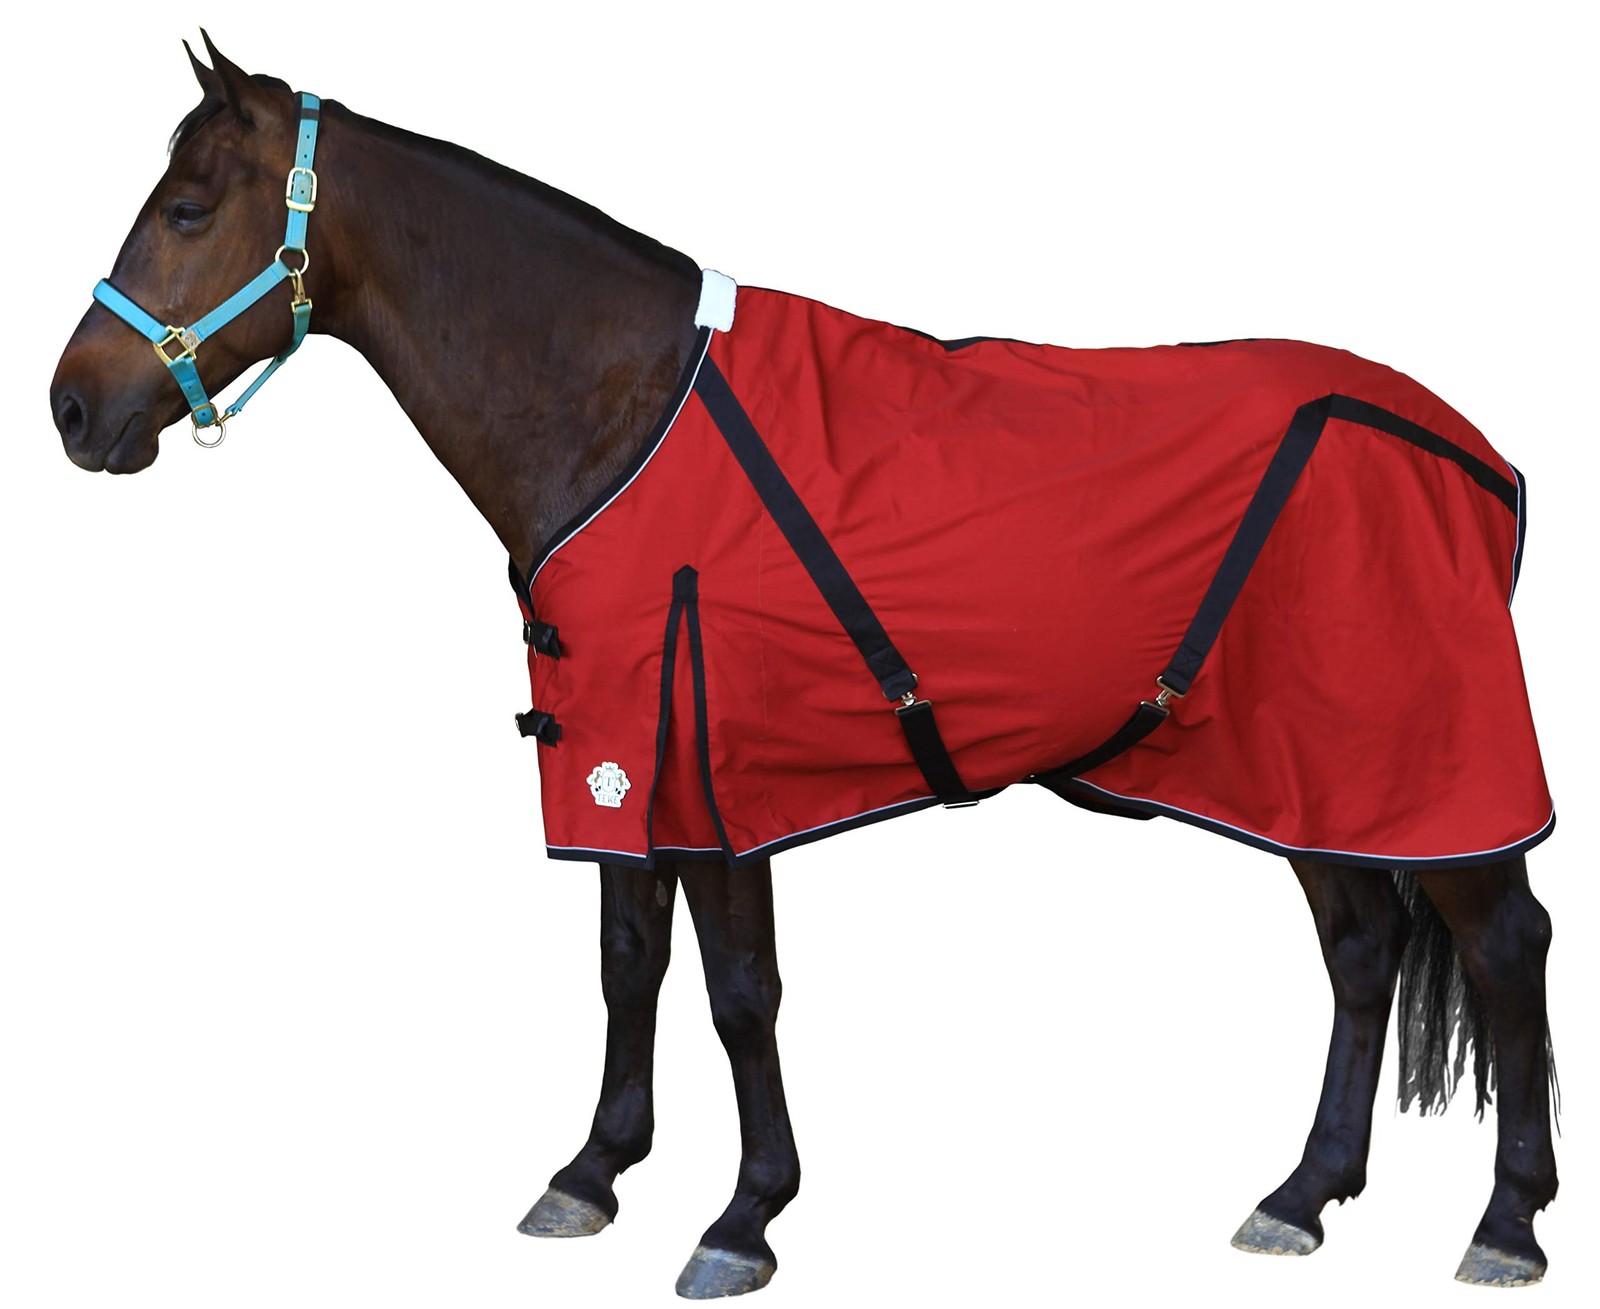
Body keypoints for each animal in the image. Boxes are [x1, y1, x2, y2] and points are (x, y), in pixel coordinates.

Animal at [48, 34, 1559, 1299]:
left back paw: (1506, 1223)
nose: (70, 407)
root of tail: (1472, 452)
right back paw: (1302, 1195)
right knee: (1361, 952)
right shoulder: (625, 761)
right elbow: (628, 964)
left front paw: (742, 1218)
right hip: (1306, 770)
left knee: (1503, 948)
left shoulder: (719, 773)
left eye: (186, 209)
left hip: (1420, 768)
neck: (624, 415)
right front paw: (592, 1172)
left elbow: (737, 993)